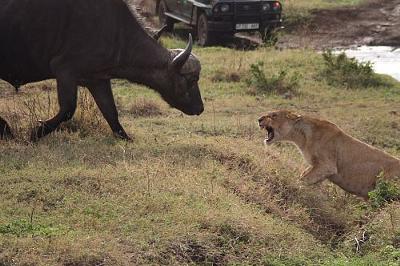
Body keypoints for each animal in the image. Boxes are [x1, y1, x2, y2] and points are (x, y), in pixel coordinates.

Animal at [0, 0, 205, 141]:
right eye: (191, 79)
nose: (200, 108)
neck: (116, 32)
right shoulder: (65, 71)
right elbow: (68, 109)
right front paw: (37, 132)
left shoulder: (98, 80)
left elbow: (111, 112)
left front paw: (125, 137)